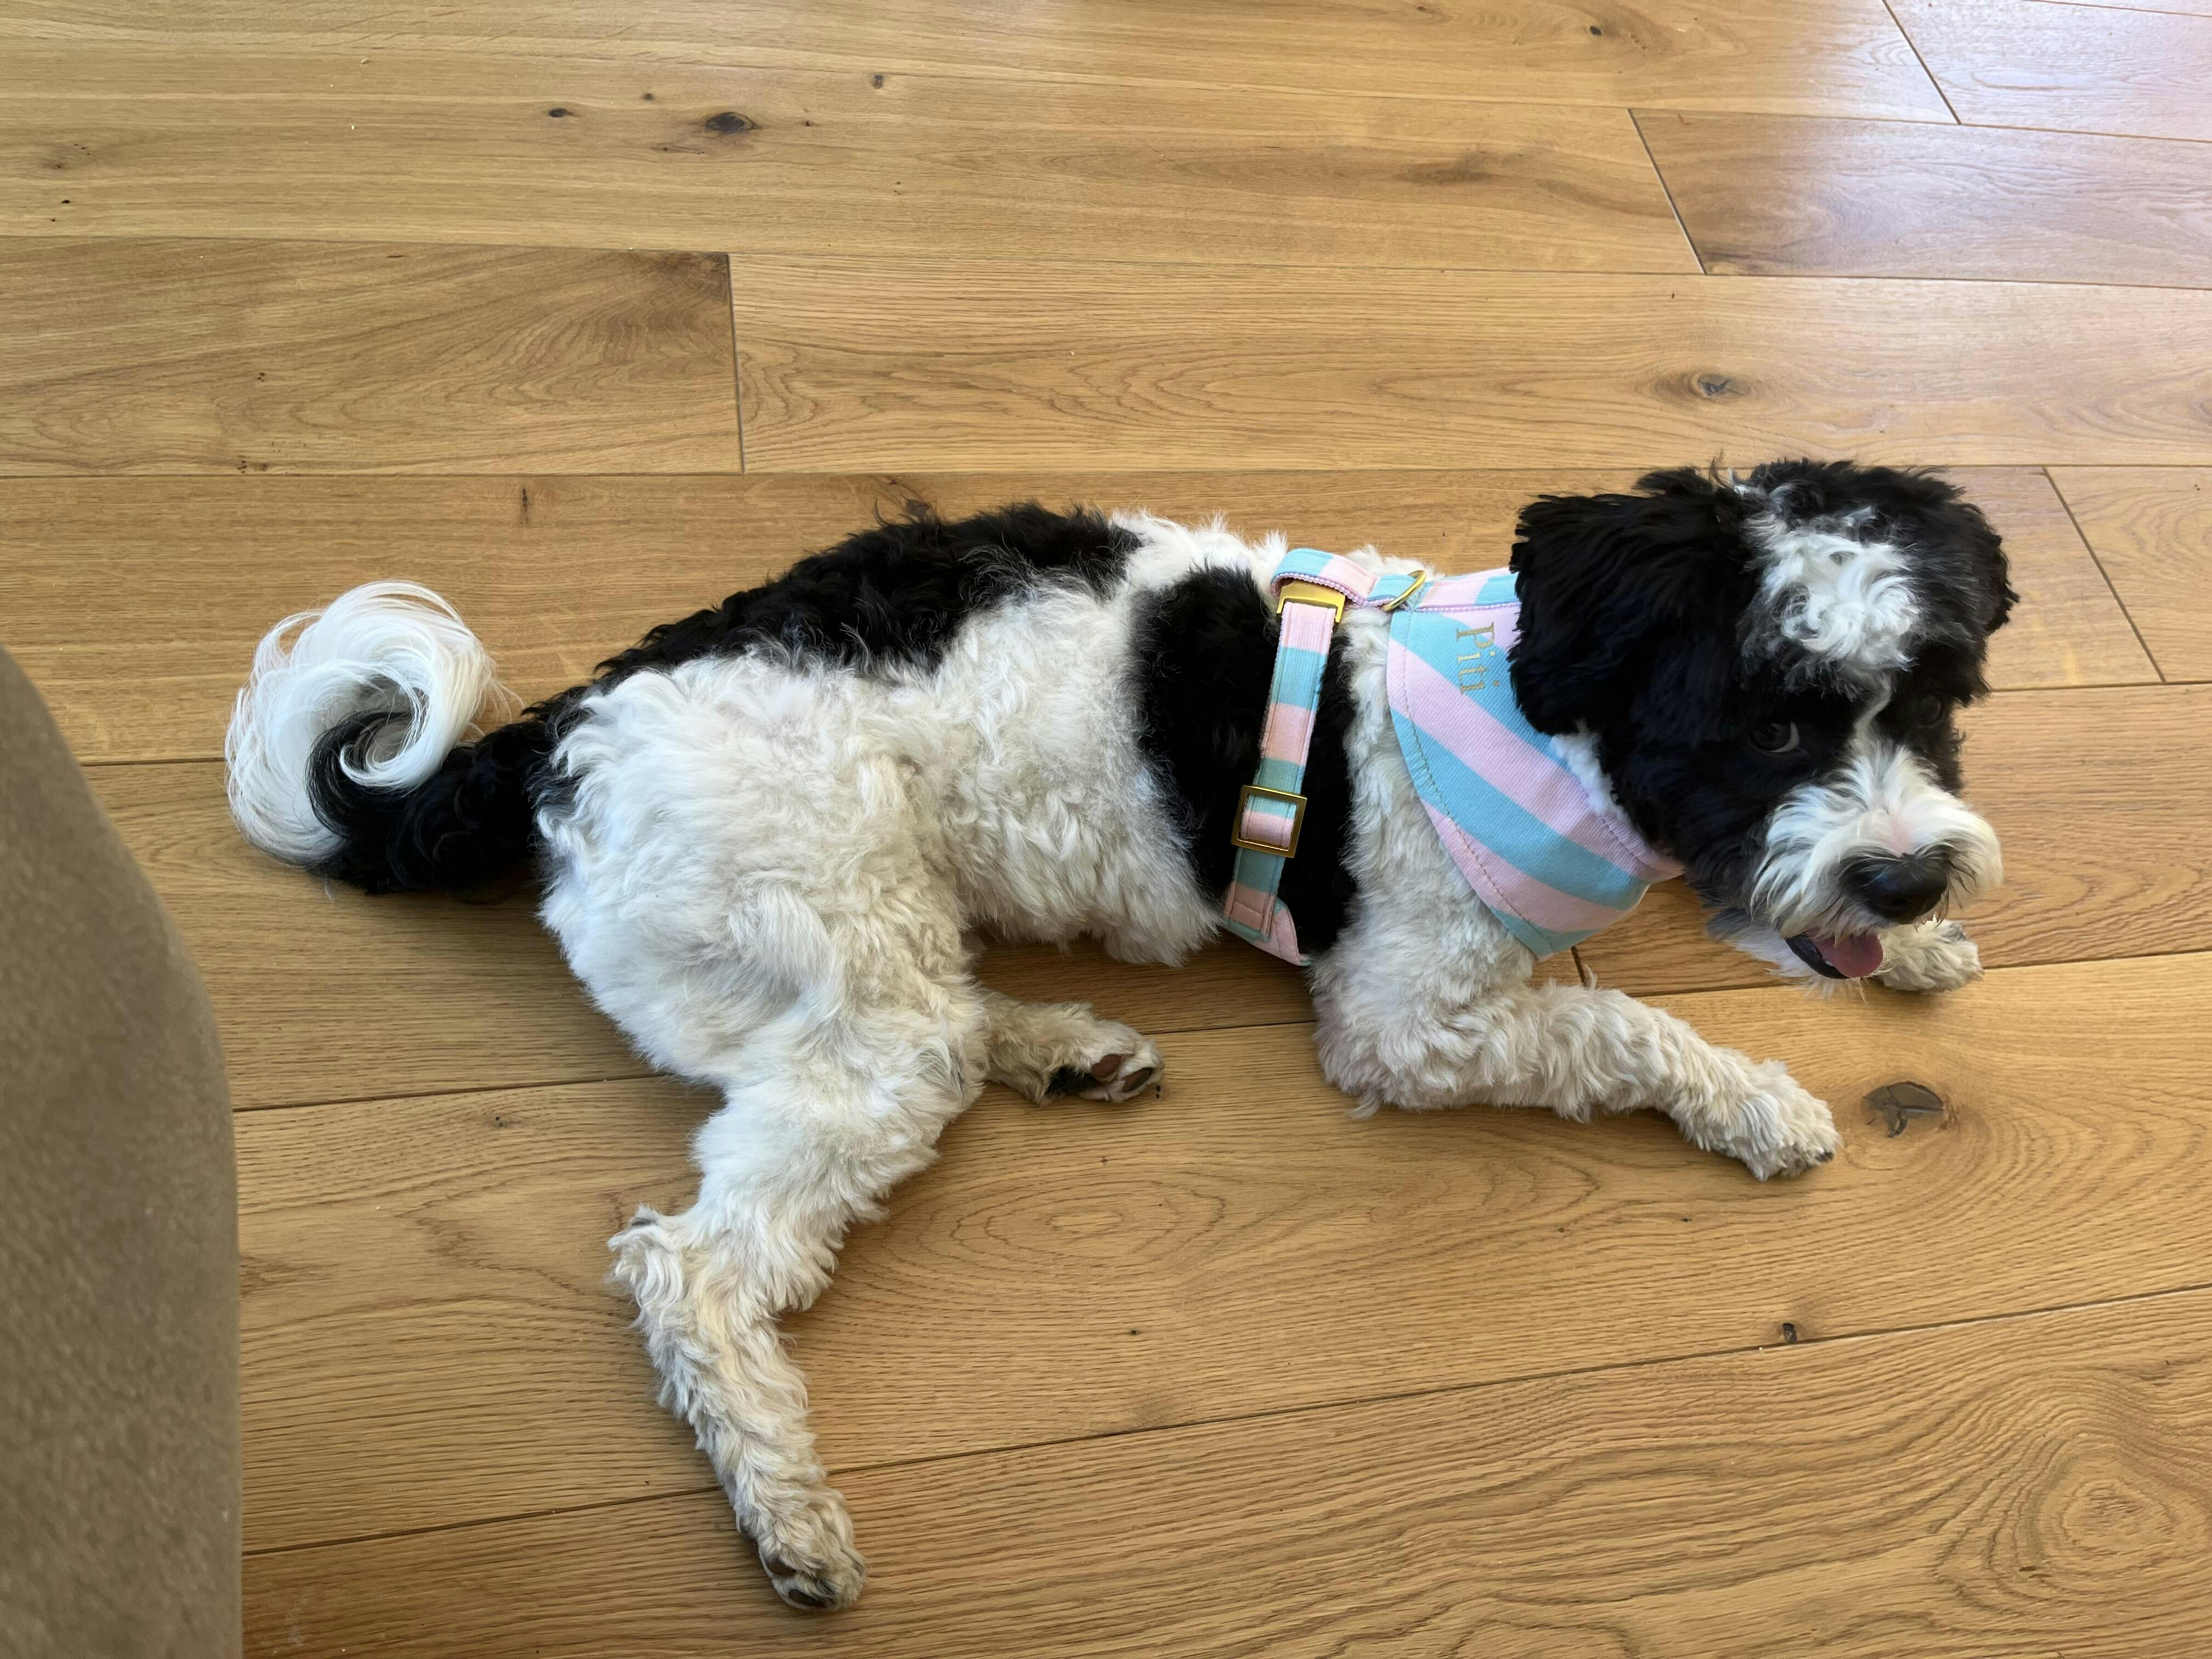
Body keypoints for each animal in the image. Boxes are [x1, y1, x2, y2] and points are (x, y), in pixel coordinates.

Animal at [225, 459, 2012, 1610]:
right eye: (1767, 726)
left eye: (1931, 706)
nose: (1912, 867)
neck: (1537, 705)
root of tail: (556, 740)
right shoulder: (1406, 1020)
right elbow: (1620, 1027)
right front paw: (1759, 1100)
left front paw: (1918, 945)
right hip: (835, 962)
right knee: (697, 1265)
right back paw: (787, 1511)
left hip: (862, 969)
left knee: (924, 1038)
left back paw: (1060, 1045)